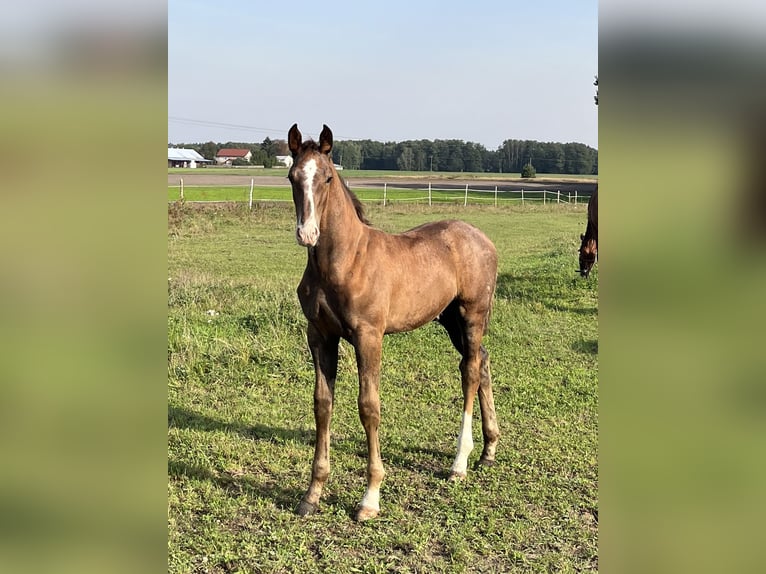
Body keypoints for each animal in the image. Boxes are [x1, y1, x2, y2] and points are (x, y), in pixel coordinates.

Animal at [286, 125, 498, 520]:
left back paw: (459, 464)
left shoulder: (369, 336)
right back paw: (489, 451)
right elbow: (322, 404)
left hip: (472, 314)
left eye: (327, 177)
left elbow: (369, 407)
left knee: (470, 371)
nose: (308, 233)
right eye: (292, 176)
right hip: (449, 319)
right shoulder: (319, 335)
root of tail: (482, 238)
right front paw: (312, 494)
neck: (344, 261)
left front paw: (370, 498)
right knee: (483, 362)